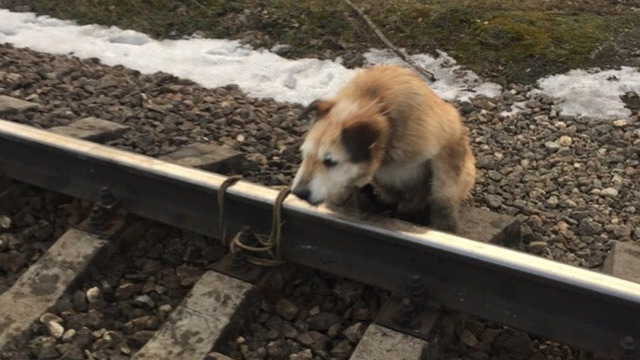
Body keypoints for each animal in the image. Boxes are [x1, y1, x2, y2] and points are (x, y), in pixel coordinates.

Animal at [290, 64, 476, 233]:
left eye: (330, 161)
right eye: (305, 155)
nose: (298, 193)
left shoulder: (449, 142)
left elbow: (443, 192)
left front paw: (445, 225)